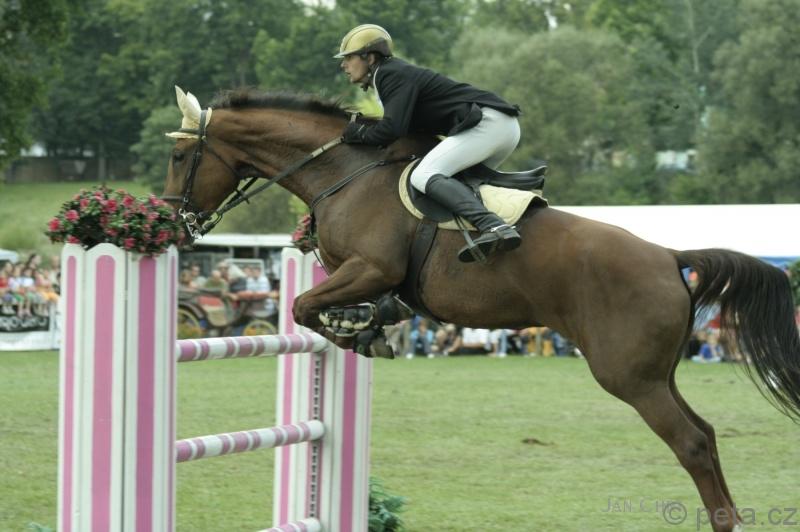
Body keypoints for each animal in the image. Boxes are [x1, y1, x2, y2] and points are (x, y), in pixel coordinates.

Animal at [161, 87, 800, 532]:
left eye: (178, 154)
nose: (173, 221)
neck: (344, 173)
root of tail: (669, 255)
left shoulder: (369, 268)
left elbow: (301, 305)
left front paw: (359, 329)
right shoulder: (356, 273)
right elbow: (314, 305)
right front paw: (372, 325)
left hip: (628, 376)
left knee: (690, 443)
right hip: (655, 372)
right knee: (706, 436)